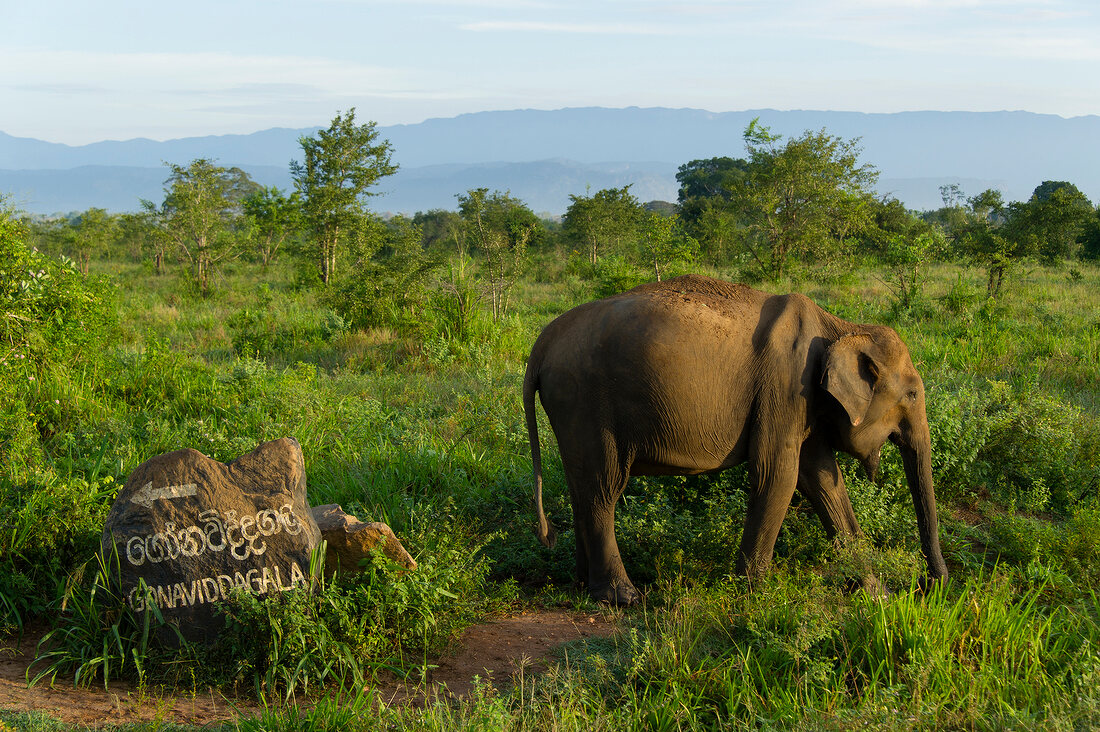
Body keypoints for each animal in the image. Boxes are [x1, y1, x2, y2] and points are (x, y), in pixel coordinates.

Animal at [521, 270, 946, 603]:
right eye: (913, 394)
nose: (929, 586)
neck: (842, 327)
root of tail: (542, 344)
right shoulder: (786, 388)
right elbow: (779, 475)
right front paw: (756, 591)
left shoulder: (805, 401)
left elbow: (823, 479)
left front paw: (877, 595)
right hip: (585, 402)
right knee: (603, 488)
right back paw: (623, 597)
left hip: (572, 409)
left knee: (582, 486)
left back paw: (583, 587)